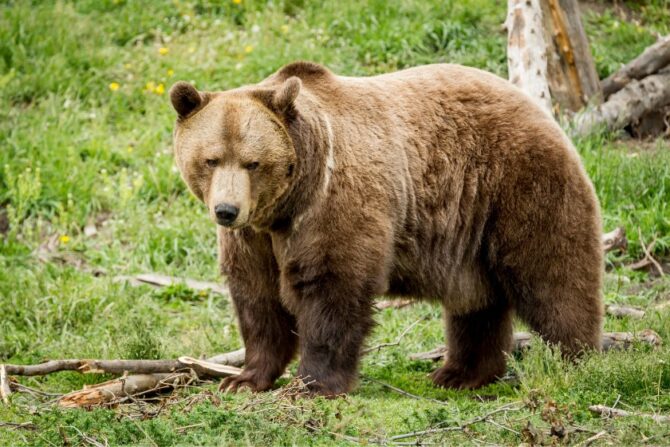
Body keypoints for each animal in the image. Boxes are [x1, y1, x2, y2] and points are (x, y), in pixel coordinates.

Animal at [171, 61, 608, 398]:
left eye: (253, 162)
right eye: (211, 159)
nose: (227, 210)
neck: (286, 206)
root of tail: (539, 110)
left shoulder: (333, 204)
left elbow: (332, 287)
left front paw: (316, 383)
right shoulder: (254, 238)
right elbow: (258, 299)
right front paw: (244, 379)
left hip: (519, 185)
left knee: (554, 276)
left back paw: (576, 360)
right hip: (471, 231)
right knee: (477, 304)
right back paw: (460, 374)